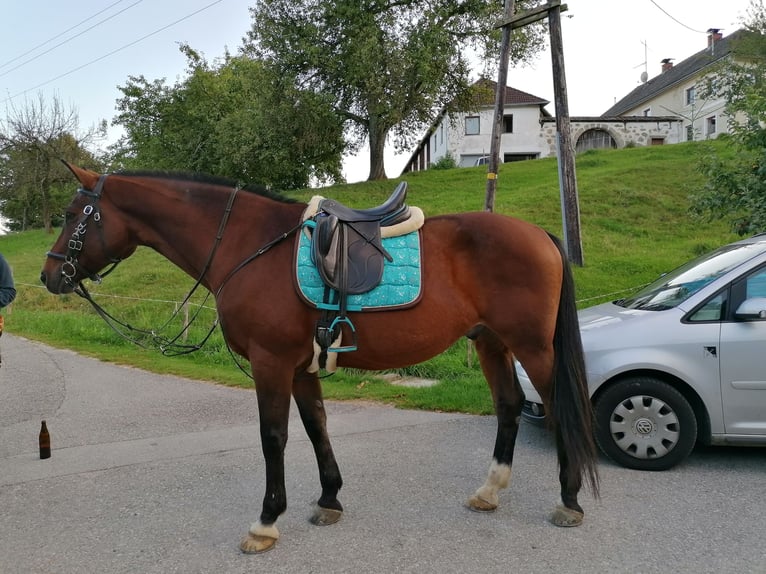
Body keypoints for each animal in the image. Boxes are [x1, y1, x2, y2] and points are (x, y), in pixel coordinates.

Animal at [40, 163, 600, 560]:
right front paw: (329, 499)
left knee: (557, 409)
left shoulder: (270, 363)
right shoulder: (300, 366)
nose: (49, 276)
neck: (248, 245)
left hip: (533, 348)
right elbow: (316, 427)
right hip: (491, 343)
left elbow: (274, 438)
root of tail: (540, 235)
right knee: (508, 406)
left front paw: (266, 522)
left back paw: (569, 501)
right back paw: (489, 491)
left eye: (71, 214)